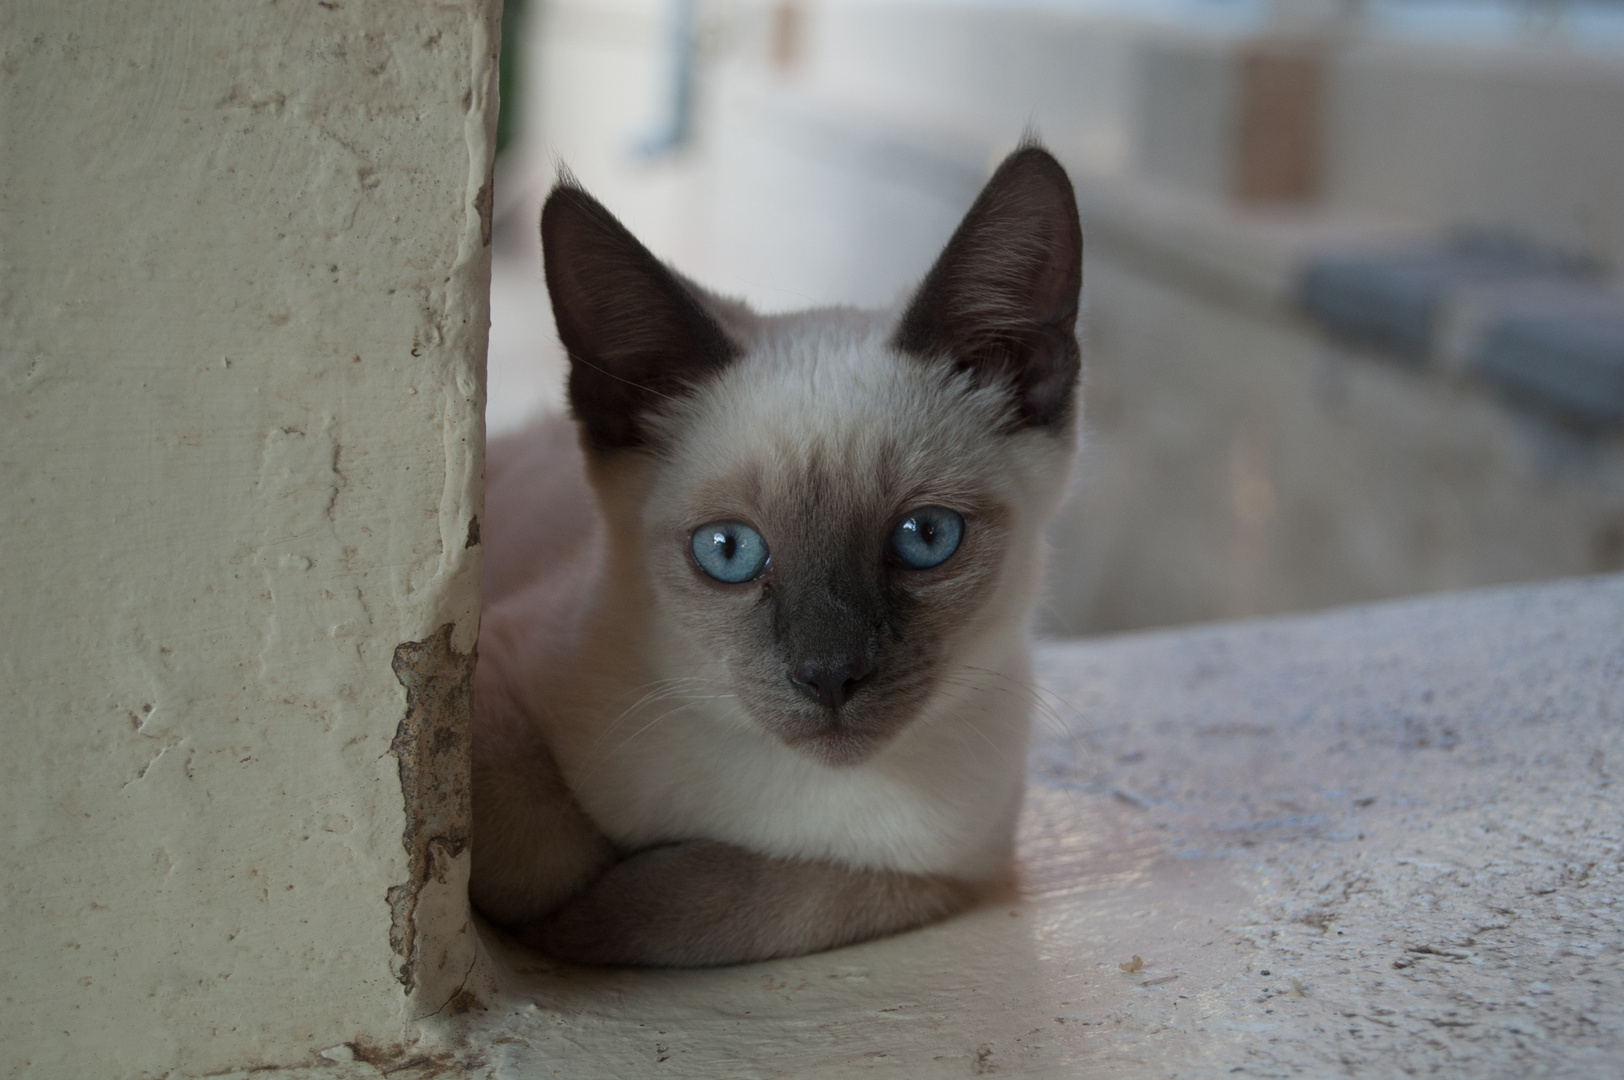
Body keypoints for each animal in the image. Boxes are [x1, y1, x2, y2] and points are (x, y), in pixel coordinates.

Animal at [470, 145, 1078, 967]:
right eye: (728, 551)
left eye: (926, 537)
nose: (829, 676)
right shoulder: (489, 670)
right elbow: (537, 848)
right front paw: (556, 920)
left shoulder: (952, 873)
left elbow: (758, 901)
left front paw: (598, 919)